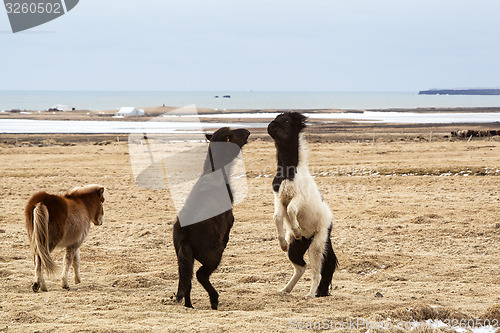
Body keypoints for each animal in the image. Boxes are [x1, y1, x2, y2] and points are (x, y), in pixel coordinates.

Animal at [173, 127, 250, 308]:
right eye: (234, 134)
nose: (248, 132)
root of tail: (184, 236)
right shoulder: (229, 217)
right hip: (213, 257)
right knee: (201, 275)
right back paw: (214, 299)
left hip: (186, 260)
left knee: (187, 281)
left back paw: (189, 305)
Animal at [266, 112, 340, 298]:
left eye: (286, 120)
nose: (270, 125)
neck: (289, 172)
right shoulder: (279, 198)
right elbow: (278, 216)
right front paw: (282, 243)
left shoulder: (299, 198)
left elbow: (291, 210)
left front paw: (297, 229)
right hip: (297, 248)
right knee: (301, 267)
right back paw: (285, 289)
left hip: (317, 245)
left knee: (317, 272)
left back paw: (311, 294)